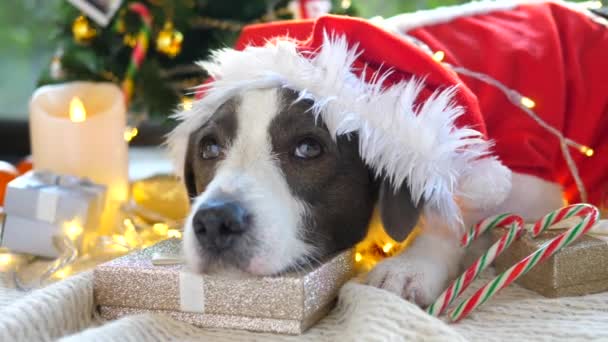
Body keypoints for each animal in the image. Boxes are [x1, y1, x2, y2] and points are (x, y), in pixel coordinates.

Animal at [167, 1, 608, 308]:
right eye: (209, 147)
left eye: (308, 148)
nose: (215, 220)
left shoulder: (526, 178)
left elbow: (458, 216)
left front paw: (412, 266)